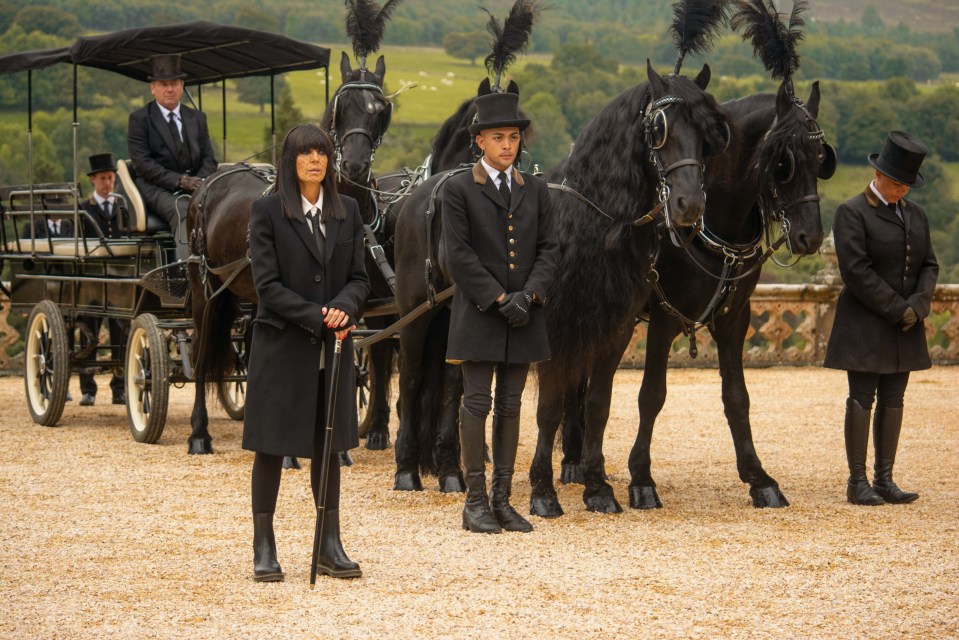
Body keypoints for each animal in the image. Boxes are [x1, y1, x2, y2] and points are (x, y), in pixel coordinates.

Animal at [528, 62, 732, 516]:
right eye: (659, 129)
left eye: (709, 134)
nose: (690, 206)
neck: (595, 222)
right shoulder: (553, 326)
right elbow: (548, 407)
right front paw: (542, 491)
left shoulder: (614, 328)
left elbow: (597, 403)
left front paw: (597, 486)